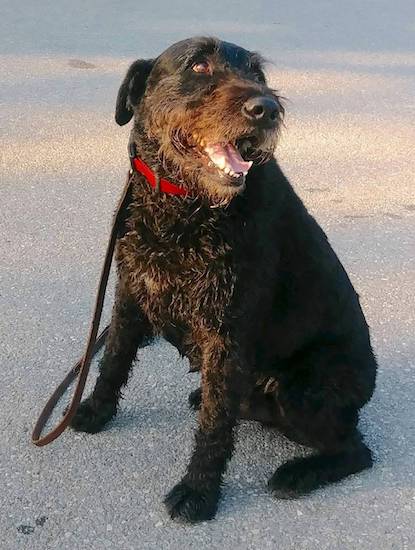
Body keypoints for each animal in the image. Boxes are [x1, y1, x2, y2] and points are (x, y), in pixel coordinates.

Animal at [70, 36, 376, 524]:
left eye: (258, 74)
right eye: (198, 65)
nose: (267, 108)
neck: (183, 203)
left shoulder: (227, 329)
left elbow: (214, 428)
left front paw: (199, 491)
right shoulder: (131, 290)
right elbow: (114, 356)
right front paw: (97, 409)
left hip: (302, 391)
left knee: (357, 450)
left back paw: (300, 473)